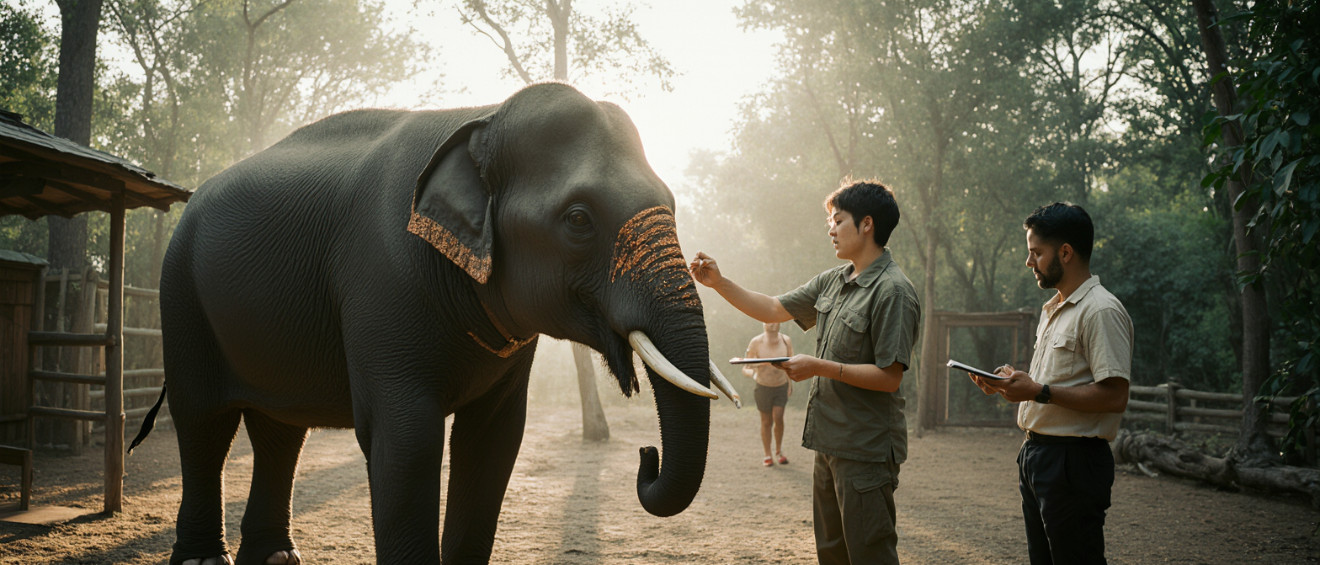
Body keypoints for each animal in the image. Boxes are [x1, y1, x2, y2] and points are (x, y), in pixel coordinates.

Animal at [145, 82, 739, 565]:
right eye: (578, 219)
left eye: (671, 204)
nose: (645, 455)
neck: (482, 116)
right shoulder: (380, 283)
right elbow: (408, 441)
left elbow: (494, 437)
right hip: (180, 292)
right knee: (202, 419)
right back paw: (203, 558)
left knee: (281, 429)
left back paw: (274, 556)